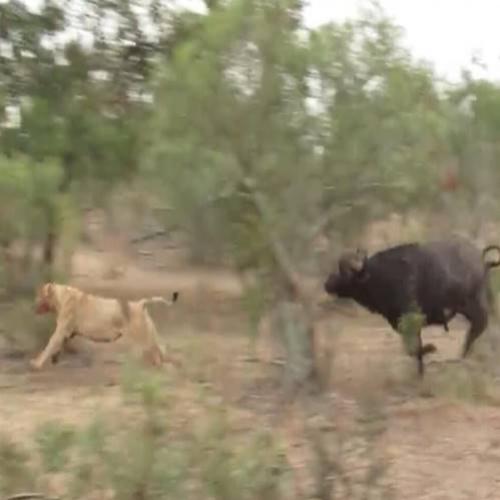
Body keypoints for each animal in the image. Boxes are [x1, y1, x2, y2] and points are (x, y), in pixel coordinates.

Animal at [322, 237, 500, 376]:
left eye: (345, 273)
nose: (327, 283)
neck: (380, 276)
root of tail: (481, 259)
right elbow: (415, 350)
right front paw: (420, 372)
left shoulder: (410, 319)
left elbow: (414, 349)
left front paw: (431, 349)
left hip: (473, 304)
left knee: (479, 325)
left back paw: (462, 355)